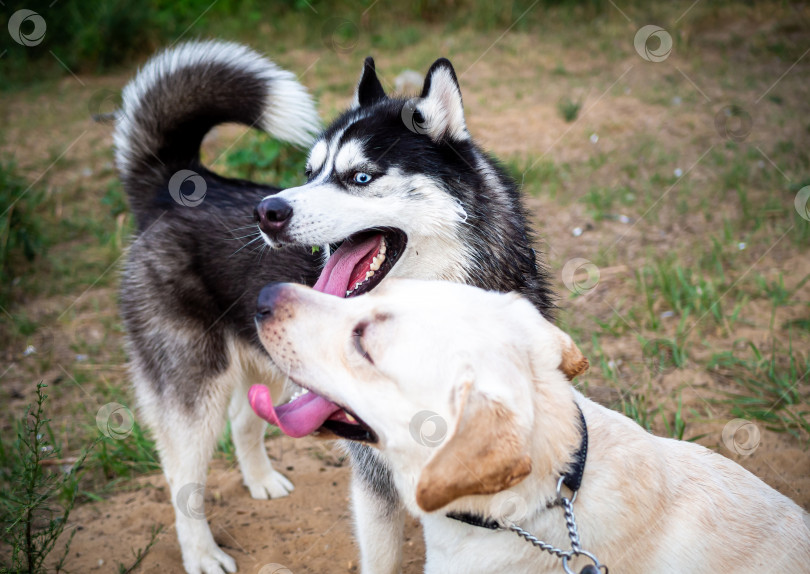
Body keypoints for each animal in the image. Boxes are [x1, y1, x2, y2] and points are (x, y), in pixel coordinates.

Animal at [117, 39, 552, 574]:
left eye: (360, 177)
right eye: (310, 173)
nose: (267, 212)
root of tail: (176, 186)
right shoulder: (374, 478)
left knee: (245, 418)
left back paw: (261, 481)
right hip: (192, 390)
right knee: (182, 476)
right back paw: (201, 552)